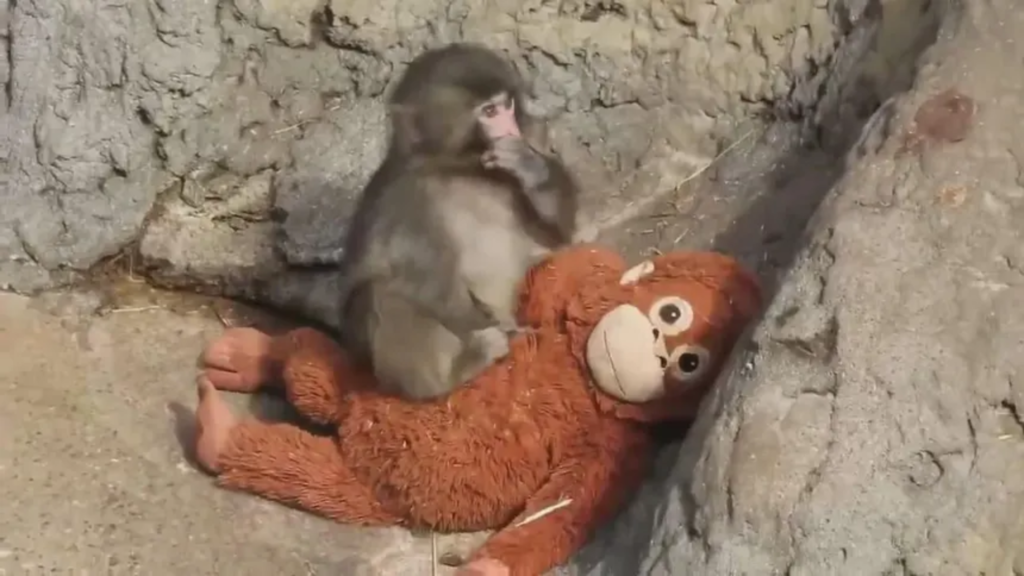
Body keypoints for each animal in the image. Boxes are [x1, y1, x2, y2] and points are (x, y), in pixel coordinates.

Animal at [335, 43, 580, 402]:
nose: (511, 129)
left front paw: (530, 168)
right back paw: (459, 372)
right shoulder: (410, 201)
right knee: (384, 293)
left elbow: (558, 237)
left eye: (506, 104)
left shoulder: (531, 139)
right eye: (488, 112)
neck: (461, 168)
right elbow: (437, 291)